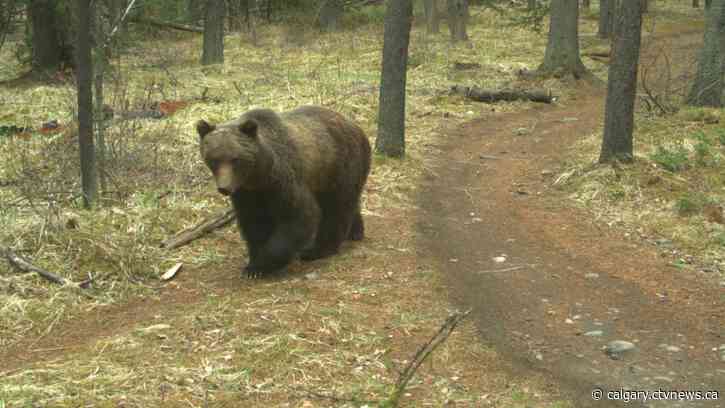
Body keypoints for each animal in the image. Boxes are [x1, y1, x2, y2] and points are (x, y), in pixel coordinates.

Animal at [197, 106, 371, 278]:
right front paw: (252, 266)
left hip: (339, 165)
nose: (224, 188)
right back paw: (355, 232)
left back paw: (318, 249)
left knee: (337, 207)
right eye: (214, 159)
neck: (258, 176)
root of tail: (356, 126)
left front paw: (262, 264)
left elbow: (299, 216)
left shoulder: (283, 181)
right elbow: (254, 223)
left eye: (235, 159)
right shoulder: (247, 193)